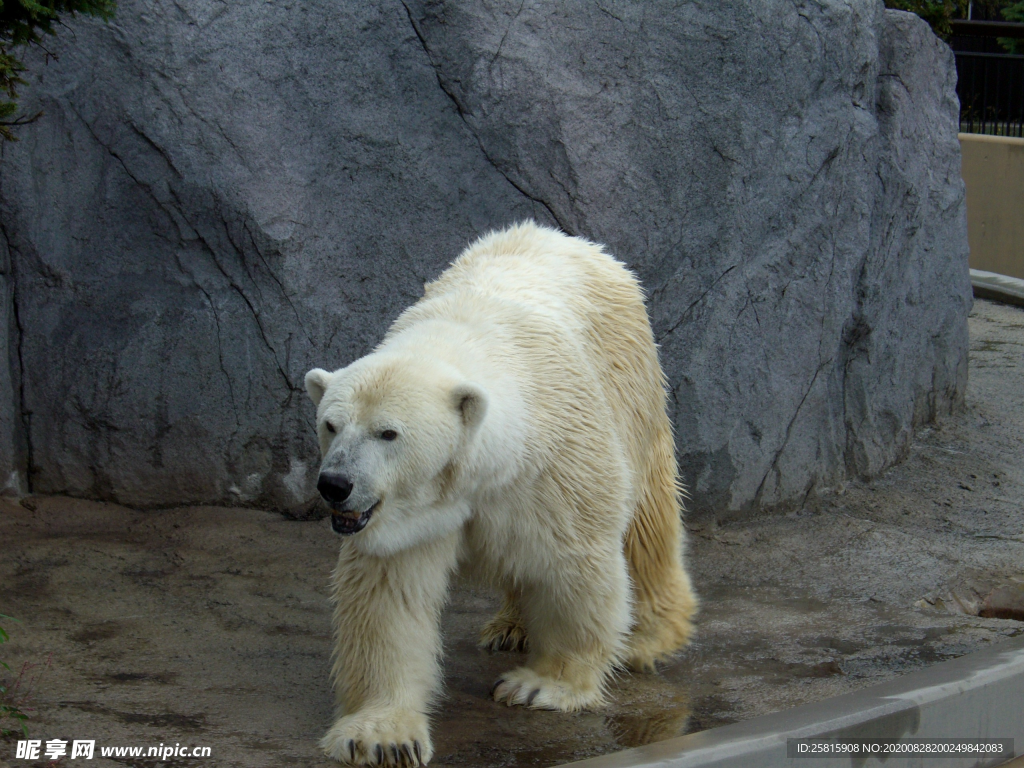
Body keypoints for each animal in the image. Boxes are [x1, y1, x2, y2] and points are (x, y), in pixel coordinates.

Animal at [305, 221, 696, 765]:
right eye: (331, 425)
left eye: (388, 433)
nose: (336, 485)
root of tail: (573, 241)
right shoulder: (408, 517)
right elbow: (389, 597)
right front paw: (381, 735)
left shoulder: (557, 462)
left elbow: (575, 563)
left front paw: (543, 686)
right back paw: (510, 627)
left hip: (631, 386)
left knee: (647, 524)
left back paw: (649, 636)